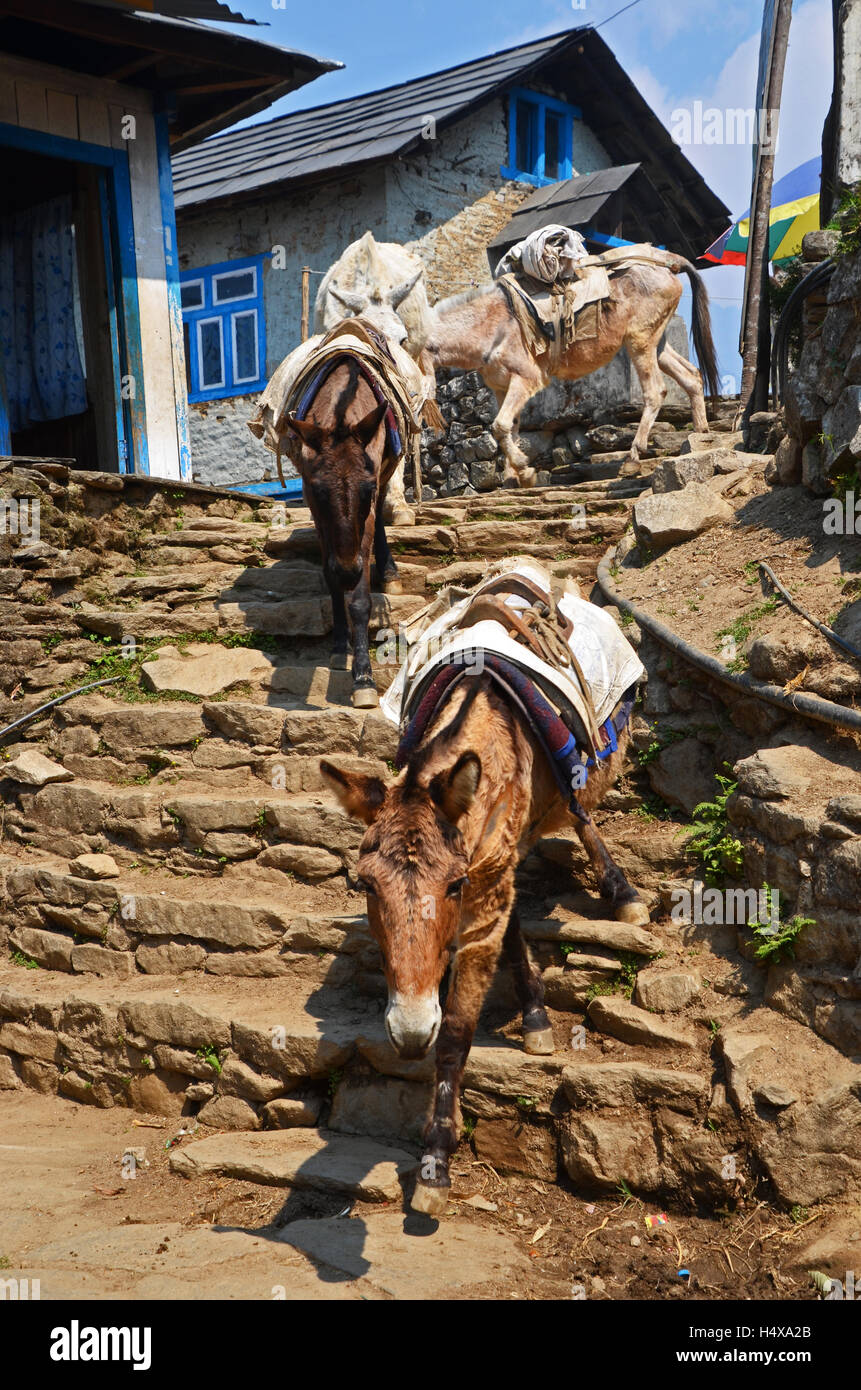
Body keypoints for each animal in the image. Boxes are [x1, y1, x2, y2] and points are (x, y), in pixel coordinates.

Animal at [322, 667, 645, 1212]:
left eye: (452, 886)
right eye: (365, 885)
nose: (410, 1033)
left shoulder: (486, 877)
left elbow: (456, 1031)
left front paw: (435, 1162)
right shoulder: (493, 869)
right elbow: (507, 928)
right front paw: (535, 1012)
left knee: (580, 813)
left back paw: (622, 892)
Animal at [425, 250, 723, 483]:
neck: (491, 324)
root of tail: (668, 261)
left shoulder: (526, 378)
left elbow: (499, 426)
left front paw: (524, 470)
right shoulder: (502, 387)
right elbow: (511, 428)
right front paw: (514, 476)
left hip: (640, 341)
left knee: (655, 391)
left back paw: (633, 457)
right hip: (656, 342)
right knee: (692, 376)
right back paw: (700, 437)